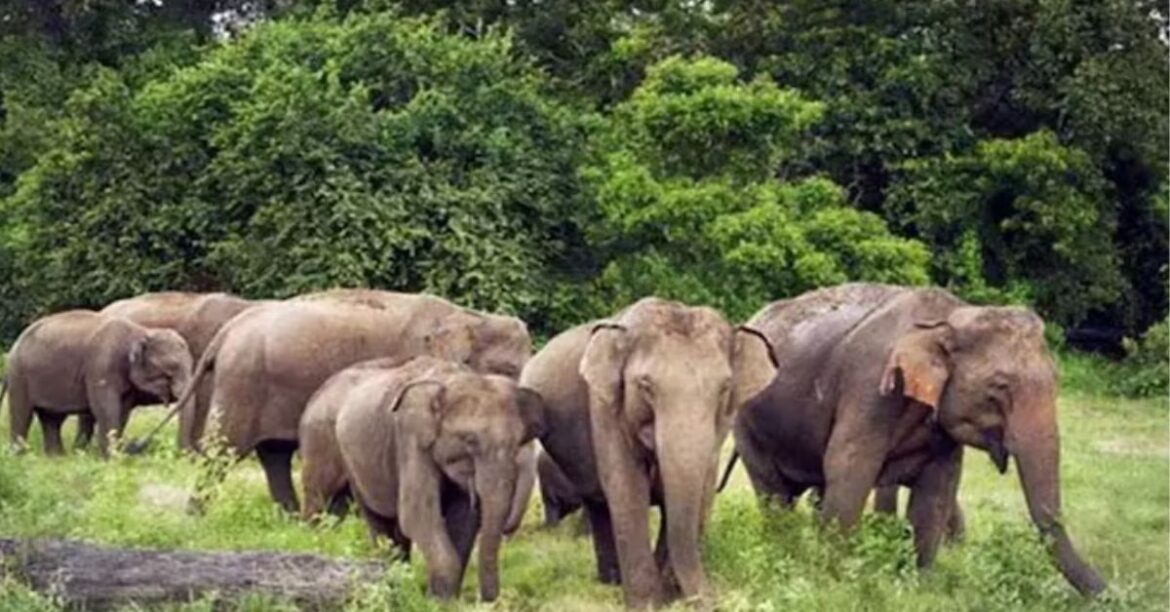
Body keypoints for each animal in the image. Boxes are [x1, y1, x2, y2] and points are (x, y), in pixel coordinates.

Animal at [2, 310, 192, 455]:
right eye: (171, 370)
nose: (135, 445)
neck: (141, 332)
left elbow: (123, 411)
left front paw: (114, 455)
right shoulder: (101, 366)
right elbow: (106, 407)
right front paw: (112, 458)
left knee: (52, 419)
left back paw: (56, 458)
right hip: (18, 376)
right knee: (22, 413)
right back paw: (19, 456)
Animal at [165, 289, 532, 512]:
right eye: (508, 369)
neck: (470, 317)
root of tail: (227, 332)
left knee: (275, 454)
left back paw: (290, 518)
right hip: (242, 383)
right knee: (223, 451)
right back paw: (197, 516)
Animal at [298, 356, 544, 601]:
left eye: (517, 443)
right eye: (470, 441)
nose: (486, 600)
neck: (450, 380)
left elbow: (465, 519)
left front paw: (443, 598)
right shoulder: (410, 438)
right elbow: (418, 513)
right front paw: (438, 600)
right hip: (330, 443)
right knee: (355, 511)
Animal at [519, 297, 776, 608]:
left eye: (725, 387)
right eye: (645, 385)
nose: (708, 600)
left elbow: (700, 491)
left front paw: (667, 596)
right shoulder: (605, 407)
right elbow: (628, 489)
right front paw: (648, 604)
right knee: (600, 503)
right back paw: (612, 582)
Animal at [730, 283, 1105, 596]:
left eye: (1056, 379)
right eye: (999, 387)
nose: (1108, 592)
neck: (950, 318)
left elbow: (937, 489)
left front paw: (919, 587)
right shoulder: (870, 388)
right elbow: (849, 469)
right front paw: (834, 581)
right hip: (746, 422)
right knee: (774, 494)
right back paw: (782, 553)